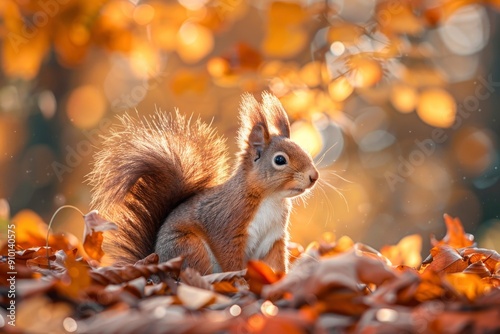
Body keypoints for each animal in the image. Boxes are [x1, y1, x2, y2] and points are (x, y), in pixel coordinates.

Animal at [87, 92, 318, 274]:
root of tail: (155, 259)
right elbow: (230, 260)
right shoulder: (226, 226)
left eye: (304, 150)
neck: (271, 198)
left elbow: (276, 264)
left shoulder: (274, 238)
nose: (313, 176)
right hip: (190, 248)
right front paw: (241, 280)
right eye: (279, 160)